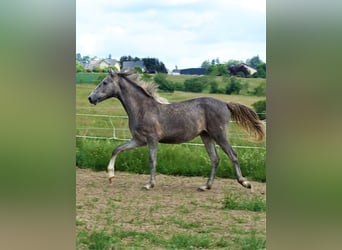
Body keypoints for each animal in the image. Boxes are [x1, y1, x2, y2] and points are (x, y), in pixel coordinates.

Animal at [88, 69, 264, 190]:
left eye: (104, 82)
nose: (90, 98)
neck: (142, 108)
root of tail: (226, 104)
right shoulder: (138, 140)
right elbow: (117, 149)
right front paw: (111, 176)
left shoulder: (152, 139)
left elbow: (152, 160)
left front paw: (149, 184)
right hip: (206, 136)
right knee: (215, 159)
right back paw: (205, 186)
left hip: (219, 134)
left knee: (232, 154)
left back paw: (245, 183)